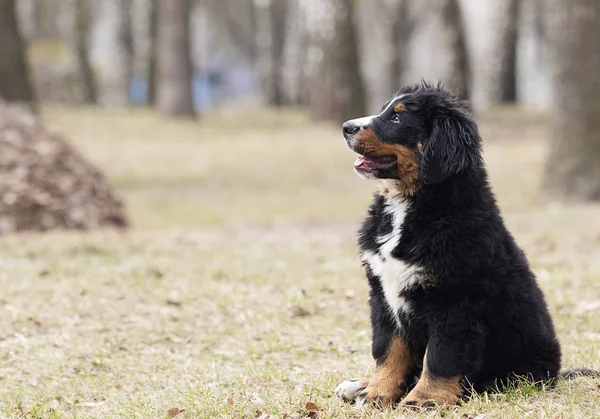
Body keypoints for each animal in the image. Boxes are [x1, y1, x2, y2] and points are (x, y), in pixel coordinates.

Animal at [338, 83, 568, 410]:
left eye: (397, 118)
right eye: (385, 109)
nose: (346, 127)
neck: (413, 203)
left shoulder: (455, 300)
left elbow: (440, 356)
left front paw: (424, 400)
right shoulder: (382, 295)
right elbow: (387, 349)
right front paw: (376, 393)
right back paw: (358, 385)